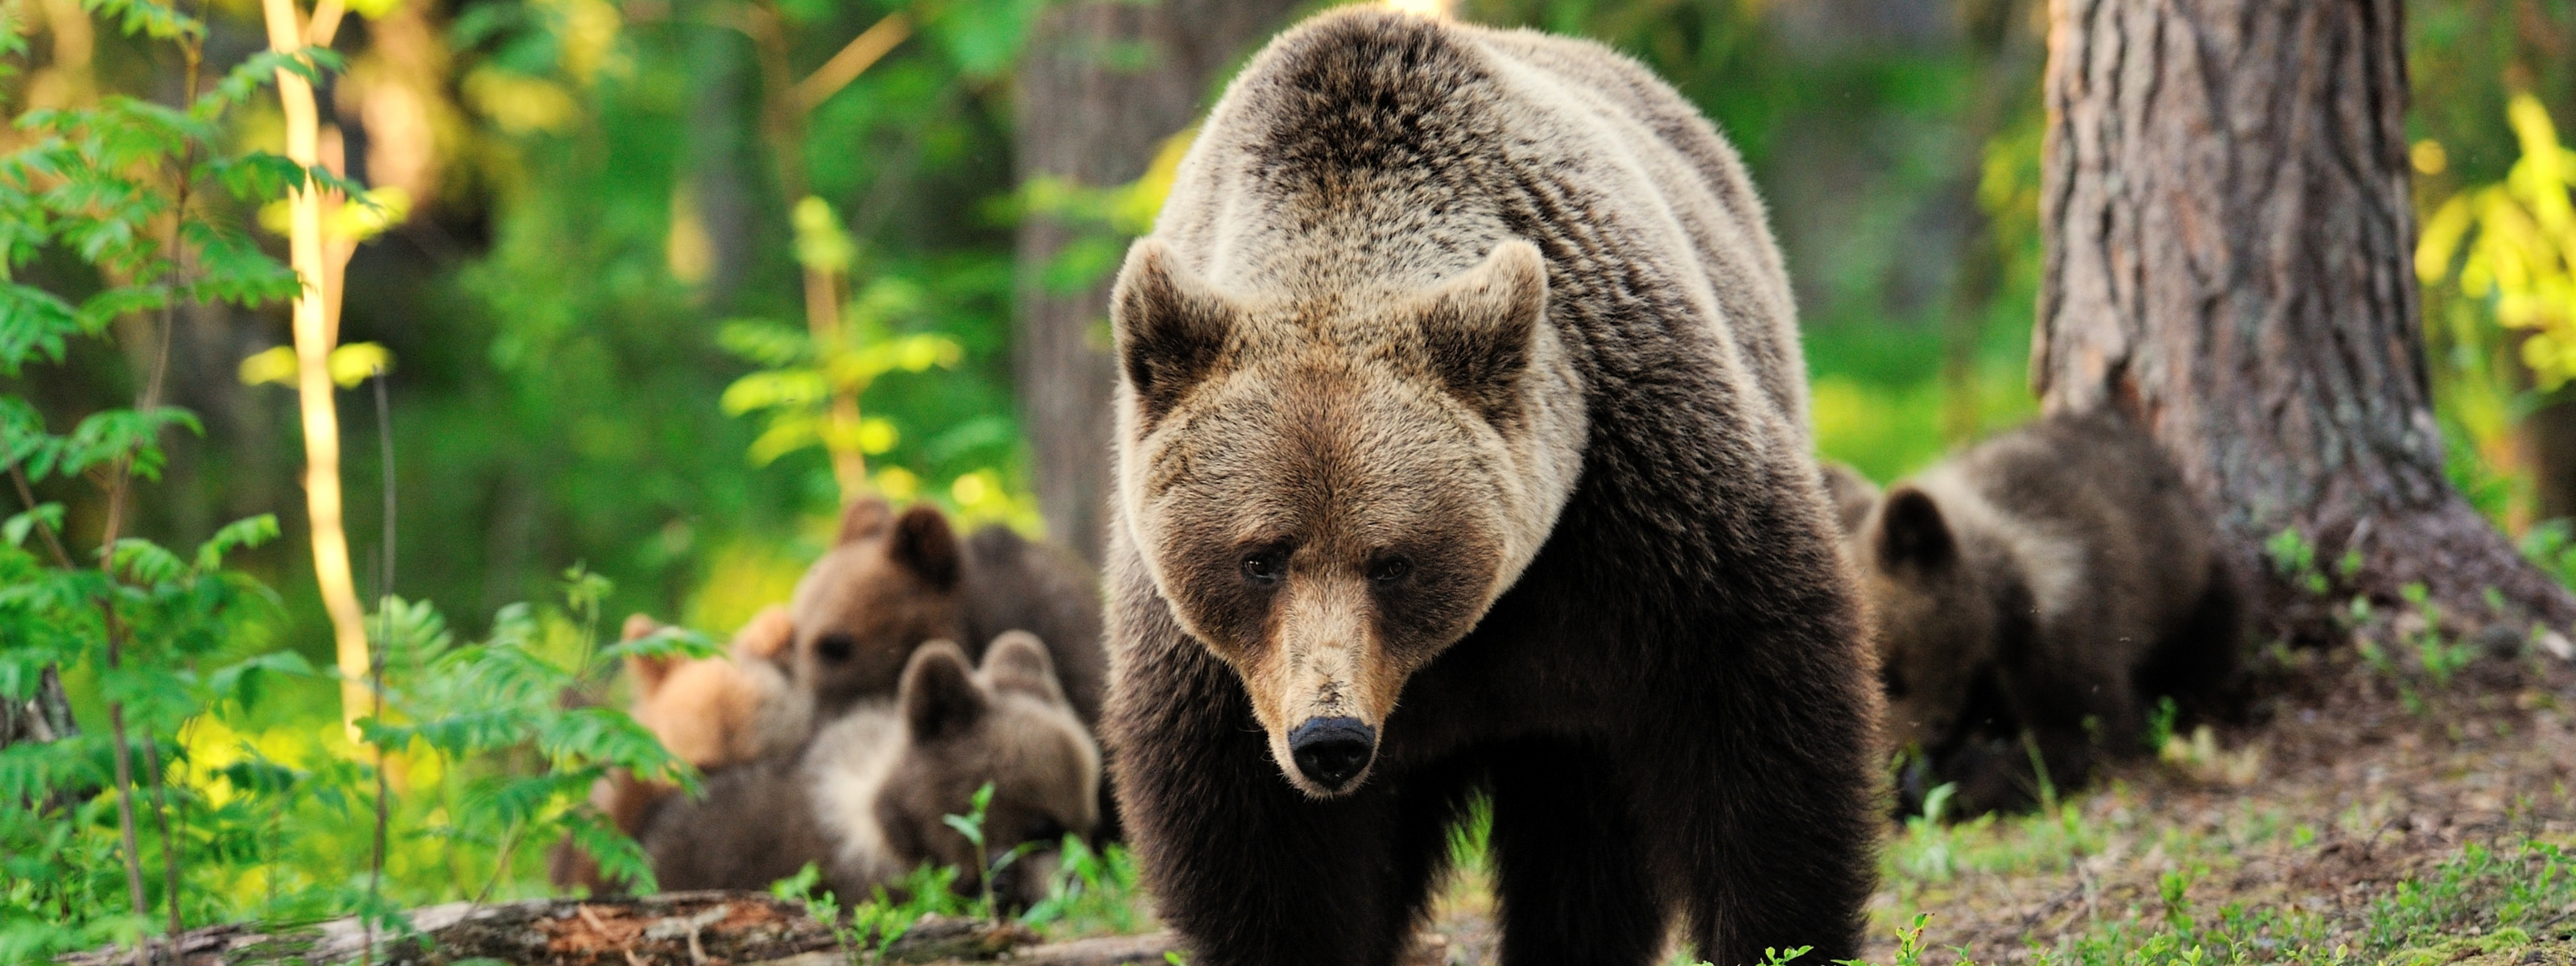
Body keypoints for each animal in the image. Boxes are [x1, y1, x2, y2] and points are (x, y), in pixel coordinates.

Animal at [1102, 9, 1875, 966]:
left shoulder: (1644, 507)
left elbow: (1755, 724)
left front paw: (1780, 937)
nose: (1330, 739)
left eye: (1391, 560)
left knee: (1582, 841)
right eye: (1260, 557)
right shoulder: (1215, 664)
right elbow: (1261, 849)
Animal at [1855, 409, 2235, 819]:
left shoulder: (2066, 628)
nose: (1891, 762)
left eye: (1890, 676)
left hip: (2196, 592)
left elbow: (2082, 728)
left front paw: (1954, 779)